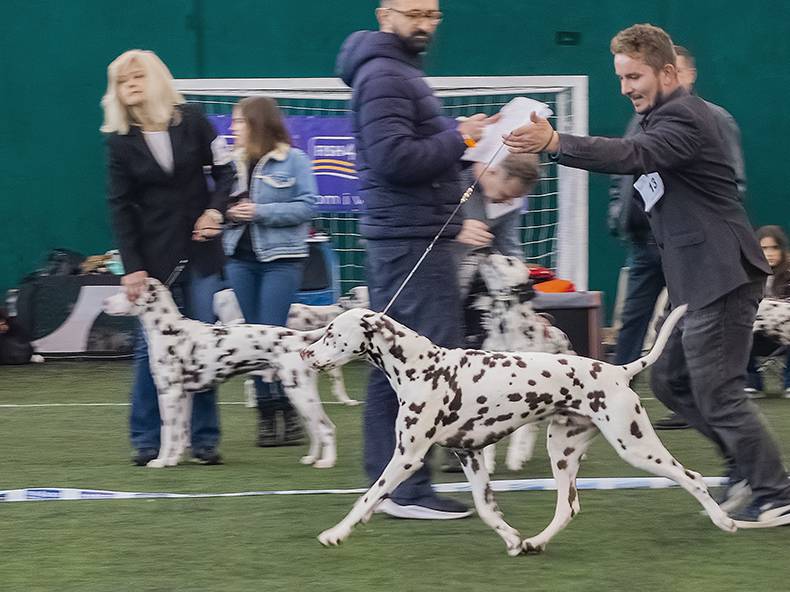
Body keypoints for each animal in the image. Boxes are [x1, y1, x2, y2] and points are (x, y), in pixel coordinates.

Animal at [103, 280, 338, 470]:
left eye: (126, 291)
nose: (105, 303)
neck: (169, 330)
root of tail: (298, 336)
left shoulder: (168, 393)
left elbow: (167, 433)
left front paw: (160, 461)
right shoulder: (184, 395)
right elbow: (180, 433)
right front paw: (173, 459)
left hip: (300, 394)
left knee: (326, 428)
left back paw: (326, 462)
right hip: (300, 396)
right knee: (315, 430)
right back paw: (311, 458)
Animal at [302, 302, 736, 556]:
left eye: (331, 333)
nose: (305, 352)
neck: (422, 367)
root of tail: (619, 370)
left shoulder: (407, 457)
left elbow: (365, 498)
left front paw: (335, 533)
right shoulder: (470, 455)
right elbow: (485, 506)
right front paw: (511, 538)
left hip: (636, 446)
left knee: (692, 477)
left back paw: (726, 522)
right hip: (562, 453)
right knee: (567, 507)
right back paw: (534, 542)